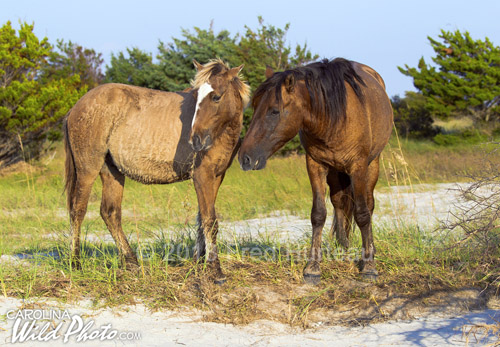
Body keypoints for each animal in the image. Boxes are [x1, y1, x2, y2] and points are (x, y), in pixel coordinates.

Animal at [63, 59, 249, 282]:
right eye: (196, 97)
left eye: (216, 96)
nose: (195, 140)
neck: (221, 133)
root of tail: (75, 108)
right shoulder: (202, 176)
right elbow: (209, 220)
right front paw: (216, 270)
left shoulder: (217, 176)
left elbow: (201, 219)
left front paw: (200, 263)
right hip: (87, 169)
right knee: (78, 210)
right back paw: (75, 263)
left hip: (112, 172)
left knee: (110, 212)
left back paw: (131, 262)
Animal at [239, 58, 394, 284]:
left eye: (274, 111)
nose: (245, 157)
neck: (333, 117)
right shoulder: (315, 165)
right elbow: (318, 214)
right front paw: (313, 267)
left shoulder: (358, 166)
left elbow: (363, 214)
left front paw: (369, 267)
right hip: (336, 172)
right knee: (339, 203)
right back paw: (342, 245)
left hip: (372, 166)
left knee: (369, 205)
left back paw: (367, 251)